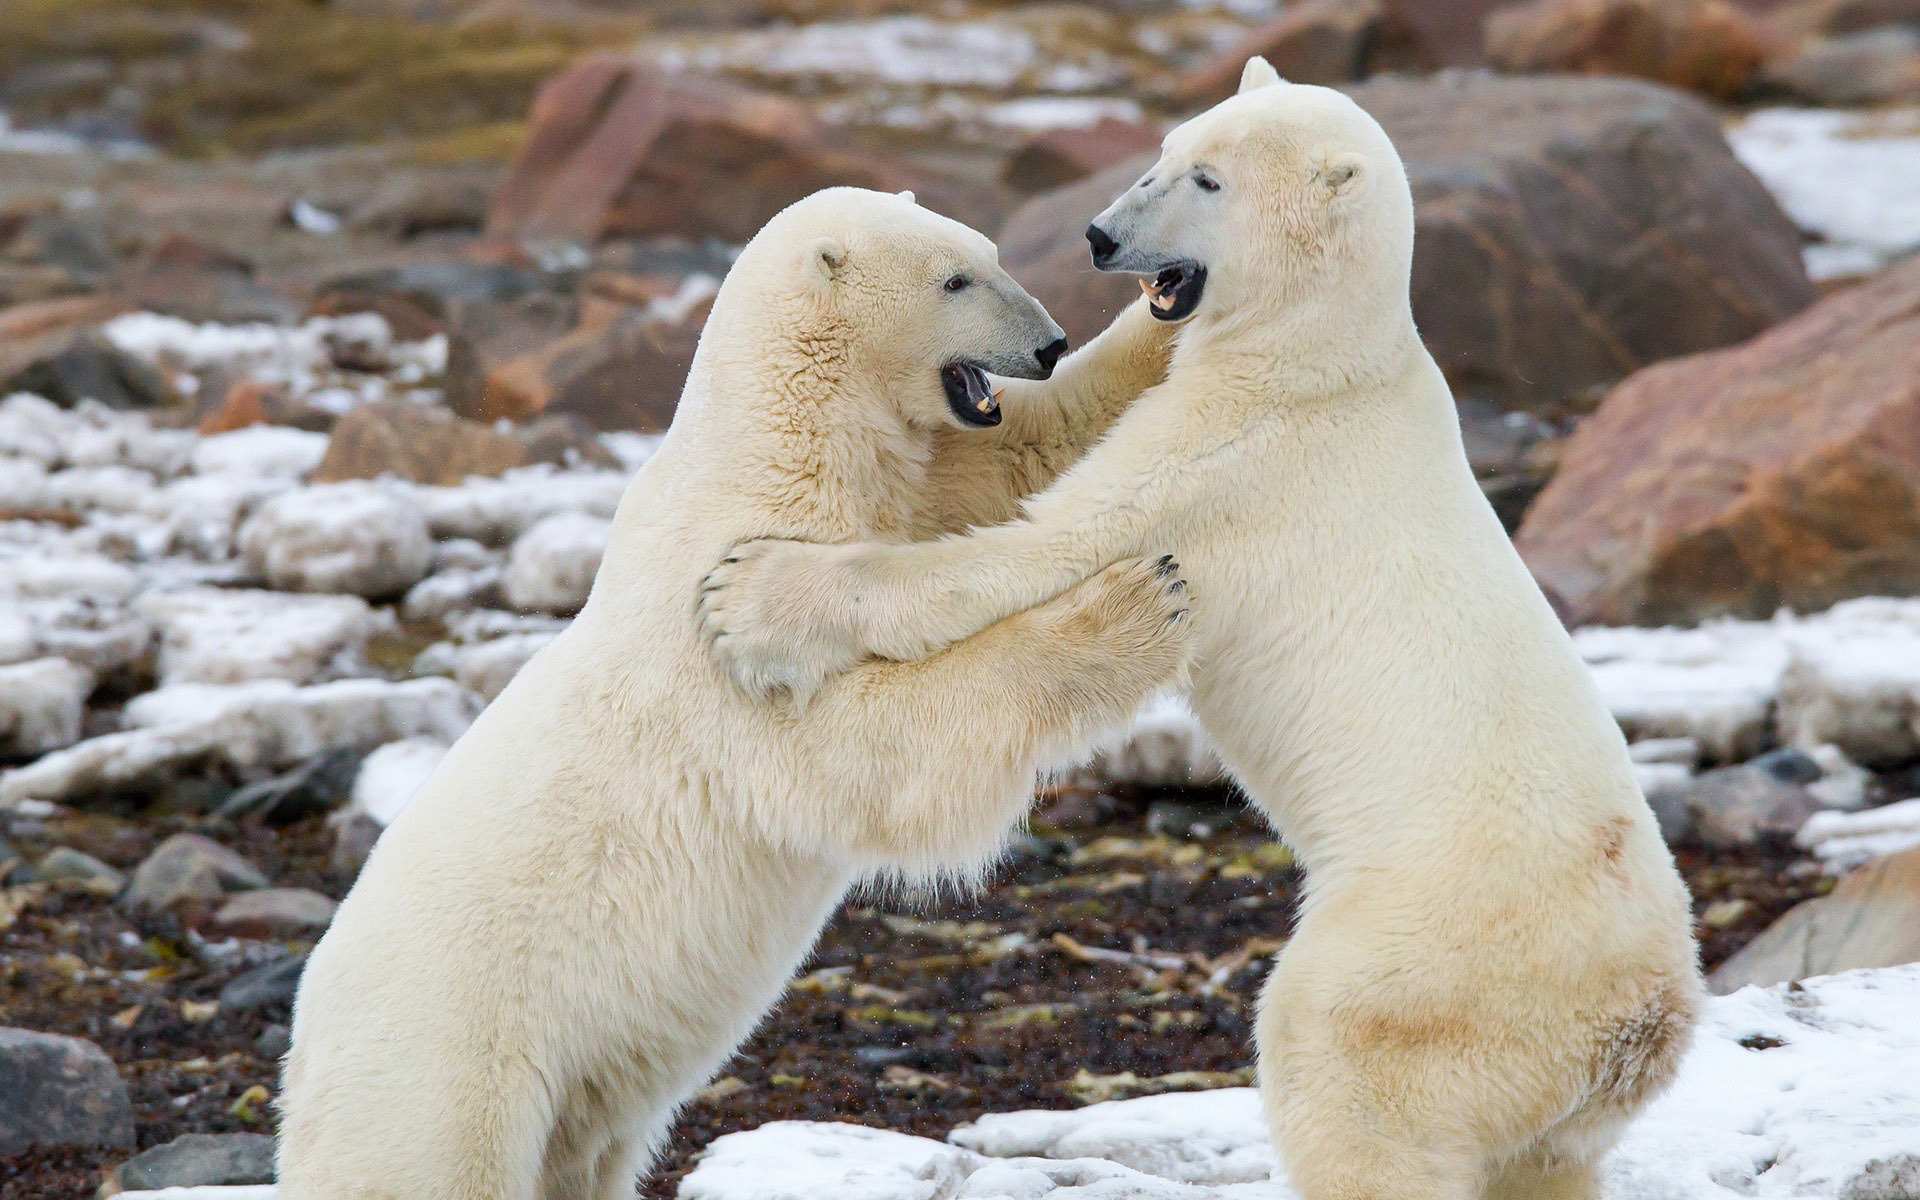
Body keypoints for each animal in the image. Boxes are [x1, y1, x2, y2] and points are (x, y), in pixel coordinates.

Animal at [275, 187, 1193, 1200]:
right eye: (955, 279)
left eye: (990, 252)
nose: (1049, 341)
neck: (781, 444)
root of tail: (302, 1061)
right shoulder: (724, 634)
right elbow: (862, 747)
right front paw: (1136, 603)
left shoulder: (915, 479)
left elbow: (1031, 451)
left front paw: (1167, 310)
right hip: (446, 1065)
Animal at [696, 64, 1702, 1200]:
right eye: (1165, 152)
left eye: (1209, 180)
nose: (1099, 237)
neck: (1325, 360)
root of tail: (1641, 1026)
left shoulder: (1235, 462)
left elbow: (1037, 548)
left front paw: (756, 594)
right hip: (1541, 1081)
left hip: (1440, 956)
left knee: (1341, 1062)